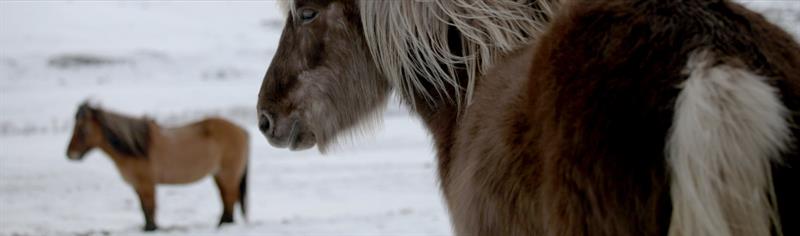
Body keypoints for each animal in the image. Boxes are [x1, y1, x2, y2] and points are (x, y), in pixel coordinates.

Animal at [64, 102, 248, 231]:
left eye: (82, 129)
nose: (69, 154)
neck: (137, 148)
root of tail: (241, 129)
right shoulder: (137, 185)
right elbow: (144, 209)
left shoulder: (146, 184)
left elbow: (149, 208)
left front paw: (151, 229)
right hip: (219, 175)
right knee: (226, 199)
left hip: (228, 174)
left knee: (230, 199)